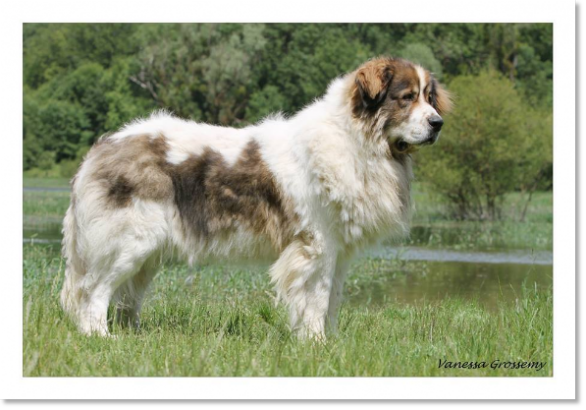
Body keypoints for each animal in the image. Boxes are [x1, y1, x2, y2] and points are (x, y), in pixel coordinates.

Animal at [60, 57, 452, 340]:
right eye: (406, 97)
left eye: (429, 98)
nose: (438, 123)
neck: (358, 140)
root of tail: (103, 147)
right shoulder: (317, 246)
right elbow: (317, 298)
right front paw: (316, 344)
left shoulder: (338, 252)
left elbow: (332, 301)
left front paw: (331, 343)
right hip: (129, 242)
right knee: (93, 290)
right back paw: (101, 337)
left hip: (146, 254)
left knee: (126, 296)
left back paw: (136, 335)